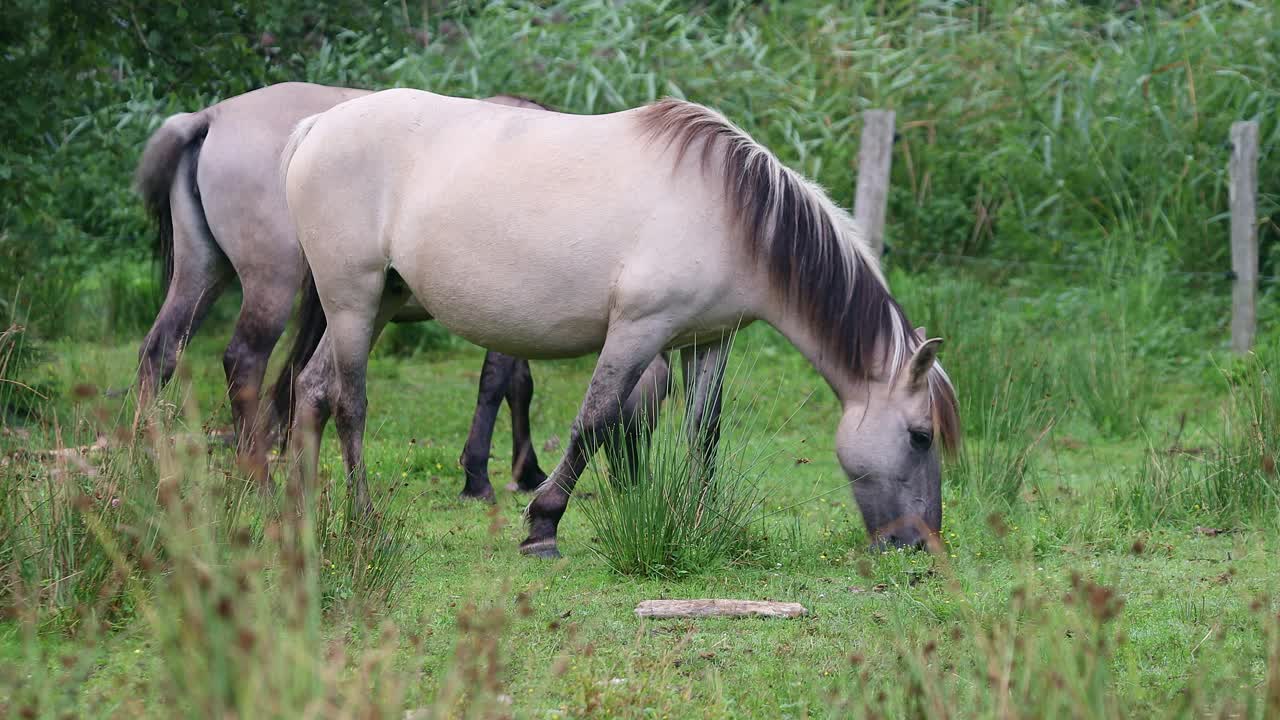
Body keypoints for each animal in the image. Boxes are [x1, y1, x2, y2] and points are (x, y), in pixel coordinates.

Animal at [282, 88, 962, 556]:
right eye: (920, 436)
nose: (919, 545)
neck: (730, 213)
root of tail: (317, 126)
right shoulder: (638, 330)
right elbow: (594, 421)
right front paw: (543, 526)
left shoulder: (707, 342)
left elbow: (702, 432)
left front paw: (697, 520)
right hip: (353, 299)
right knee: (349, 401)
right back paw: (363, 521)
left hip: (379, 301)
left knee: (311, 388)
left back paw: (299, 509)